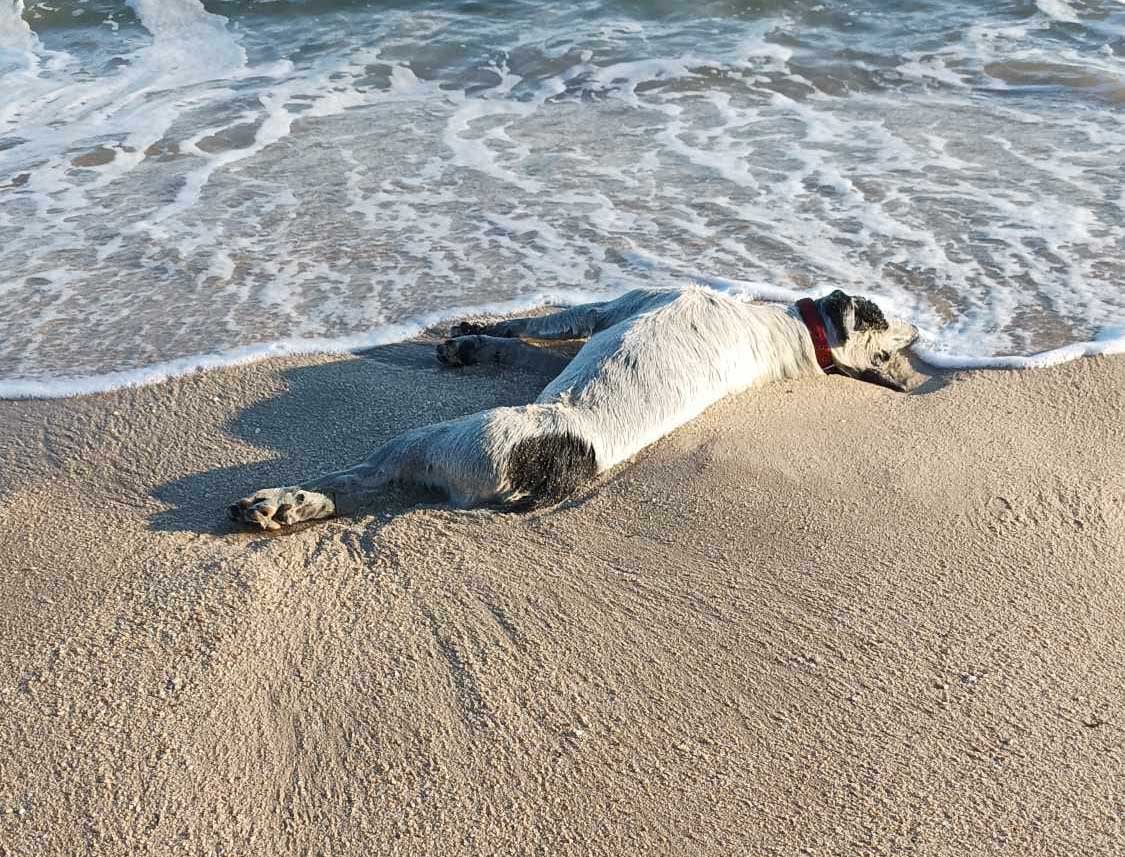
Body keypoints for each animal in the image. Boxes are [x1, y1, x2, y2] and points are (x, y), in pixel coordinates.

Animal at [232, 286, 918, 528]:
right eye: (891, 335)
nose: (917, 332)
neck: (791, 336)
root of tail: (545, 470)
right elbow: (519, 347)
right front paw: (474, 342)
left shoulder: (608, 308)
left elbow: (533, 323)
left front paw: (475, 332)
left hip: (444, 437)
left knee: (364, 472)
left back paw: (285, 502)